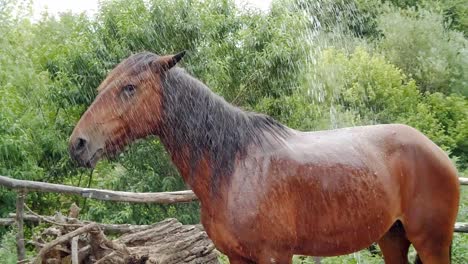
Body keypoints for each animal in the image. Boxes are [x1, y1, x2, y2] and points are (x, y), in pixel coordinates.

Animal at [70, 51, 460, 262]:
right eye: (104, 85)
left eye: (129, 88)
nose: (78, 144)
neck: (234, 167)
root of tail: (435, 151)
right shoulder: (238, 257)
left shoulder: (274, 255)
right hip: (392, 238)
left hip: (432, 243)